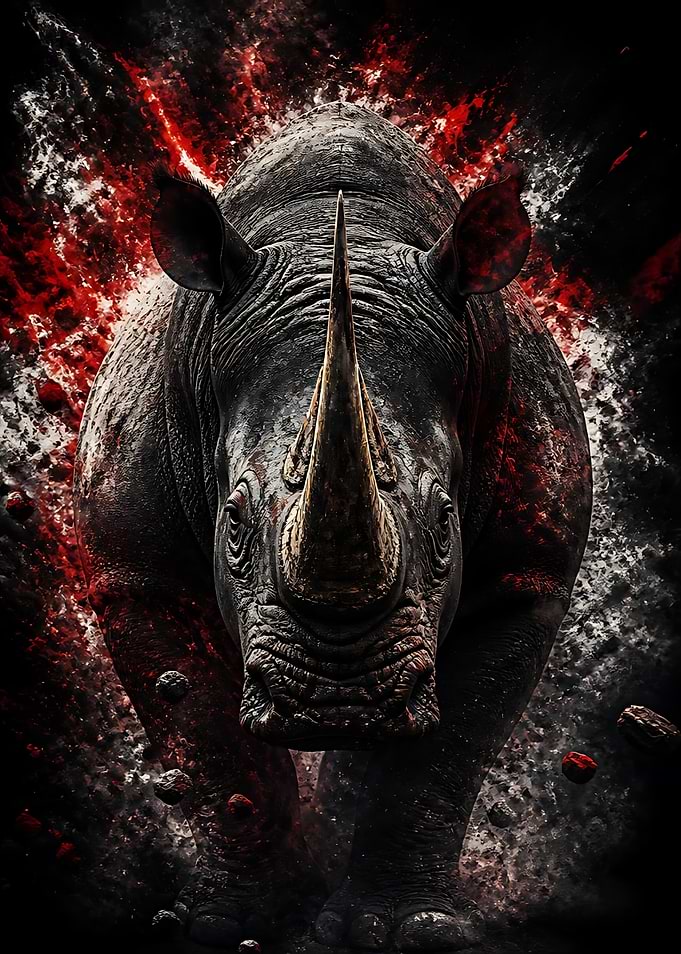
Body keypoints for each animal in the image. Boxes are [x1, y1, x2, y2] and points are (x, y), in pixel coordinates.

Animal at [74, 101, 592, 950]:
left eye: (445, 526)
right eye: (233, 525)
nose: (336, 703)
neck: (332, 228)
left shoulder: (526, 571)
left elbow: (443, 758)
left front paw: (404, 927)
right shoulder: (136, 567)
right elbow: (209, 743)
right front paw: (230, 921)